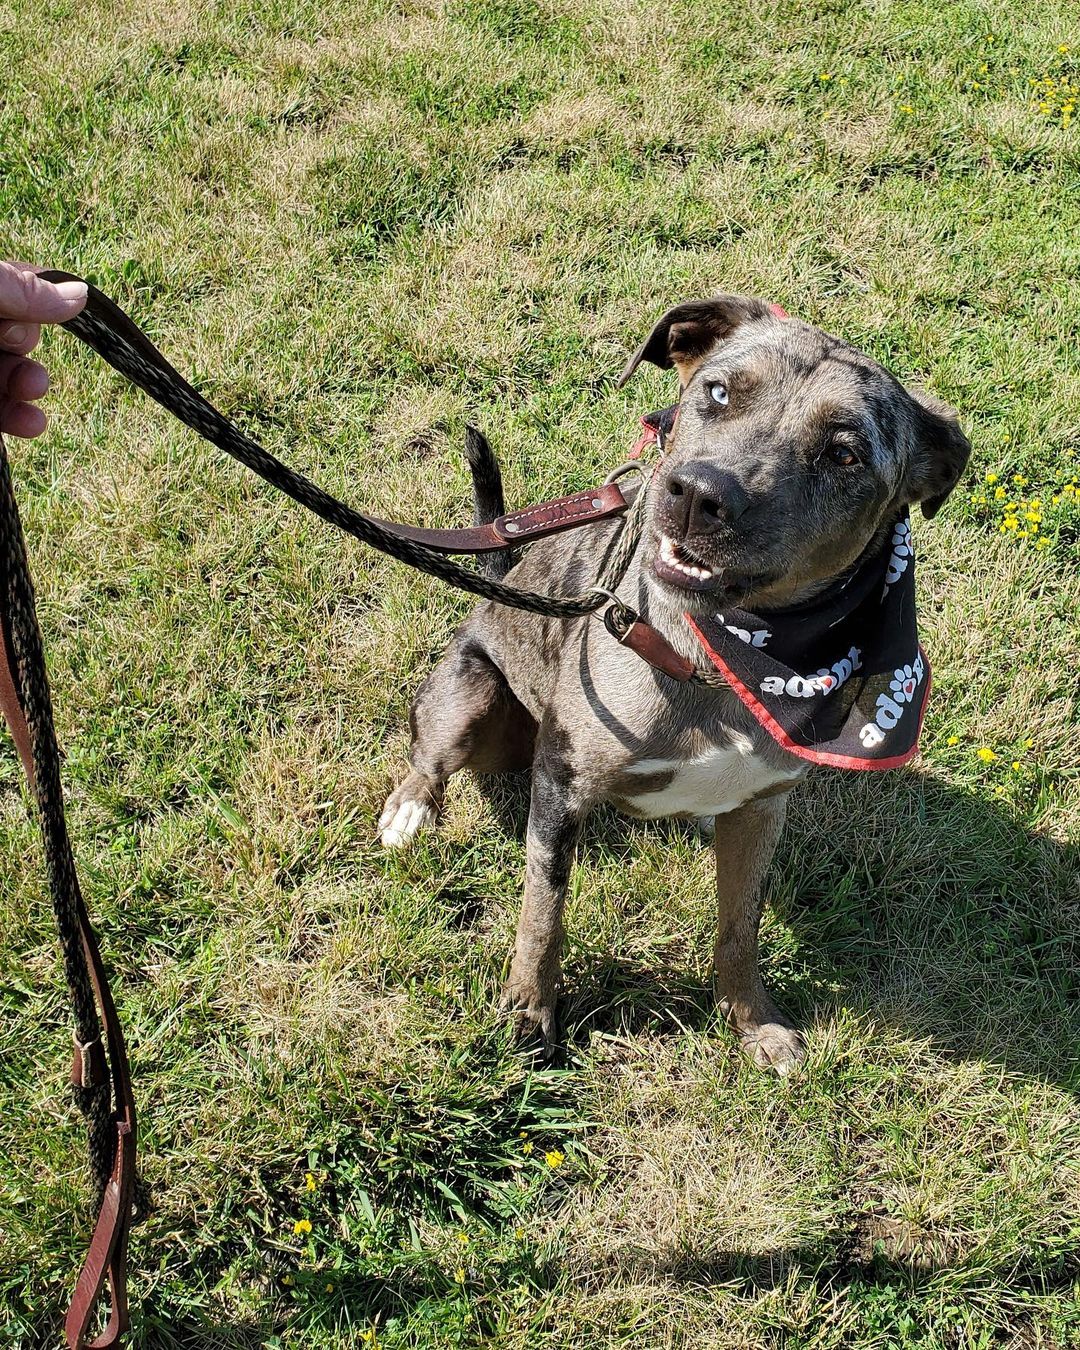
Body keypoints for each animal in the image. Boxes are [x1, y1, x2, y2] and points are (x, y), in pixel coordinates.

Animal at [378, 298, 972, 1074]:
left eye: (843, 454)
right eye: (717, 392)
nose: (698, 495)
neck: (726, 657)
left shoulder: (764, 808)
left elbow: (740, 927)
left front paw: (752, 1022)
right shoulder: (560, 781)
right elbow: (543, 911)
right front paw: (529, 1013)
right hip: (471, 701)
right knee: (430, 758)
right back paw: (410, 810)